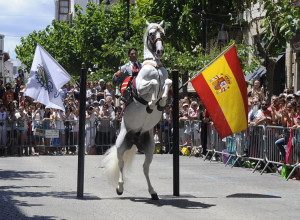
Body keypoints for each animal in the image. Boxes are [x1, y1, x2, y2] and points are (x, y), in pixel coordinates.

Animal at [102, 20, 172, 199]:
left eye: (163, 33)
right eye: (152, 34)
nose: (160, 51)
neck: (155, 65)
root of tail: (134, 139)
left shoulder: (166, 81)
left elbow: (167, 82)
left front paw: (161, 102)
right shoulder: (140, 88)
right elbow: (154, 83)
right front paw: (152, 103)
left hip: (149, 148)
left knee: (145, 168)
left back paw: (153, 192)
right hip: (120, 144)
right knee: (120, 163)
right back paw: (120, 188)